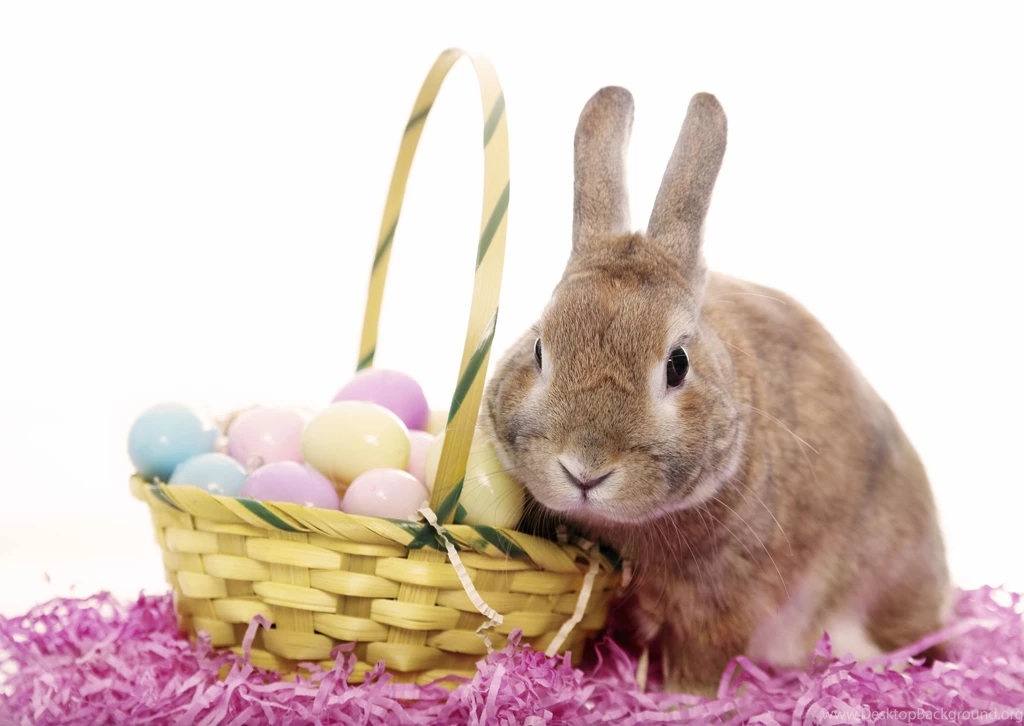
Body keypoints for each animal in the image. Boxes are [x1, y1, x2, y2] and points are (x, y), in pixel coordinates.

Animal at [480, 87, 950, 692]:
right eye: (539, 349)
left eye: (677, 365)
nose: (585, 470)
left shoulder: (729, 600)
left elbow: (706, 660)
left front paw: (680, 701)